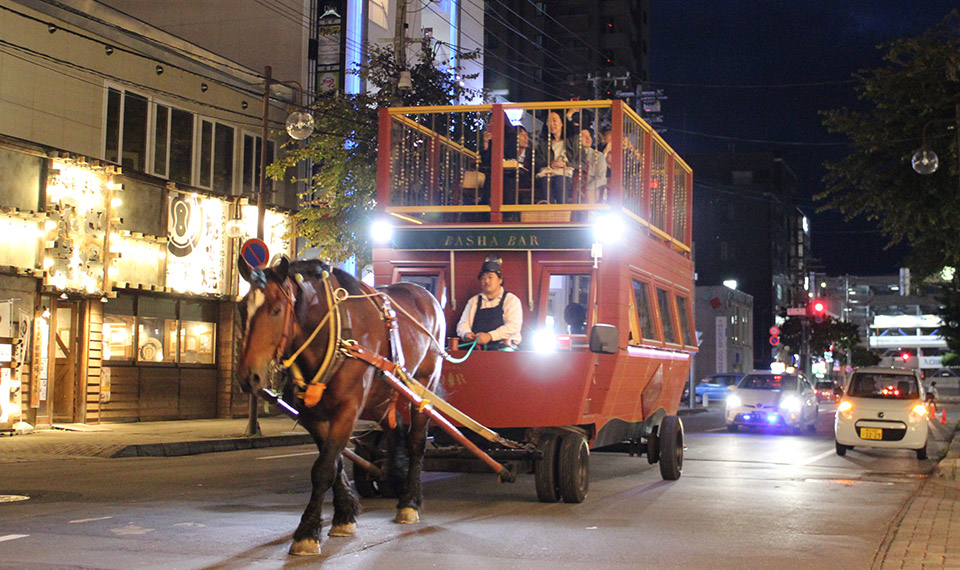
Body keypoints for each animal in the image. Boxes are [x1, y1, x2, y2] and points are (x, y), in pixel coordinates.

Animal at [240, 258, 450, 556]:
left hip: (423, 383)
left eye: (276, 310)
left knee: (416, 442)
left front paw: (307, 532)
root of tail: (424, 293)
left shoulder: (348, 409)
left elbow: (323, 469)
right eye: (241, 308)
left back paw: (409, 501)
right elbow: (334, 461)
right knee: (395, 430)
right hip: (383, 392)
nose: (249, 377)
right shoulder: (312, 415)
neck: (333, 333)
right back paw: (393, 478)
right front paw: (344, 514)